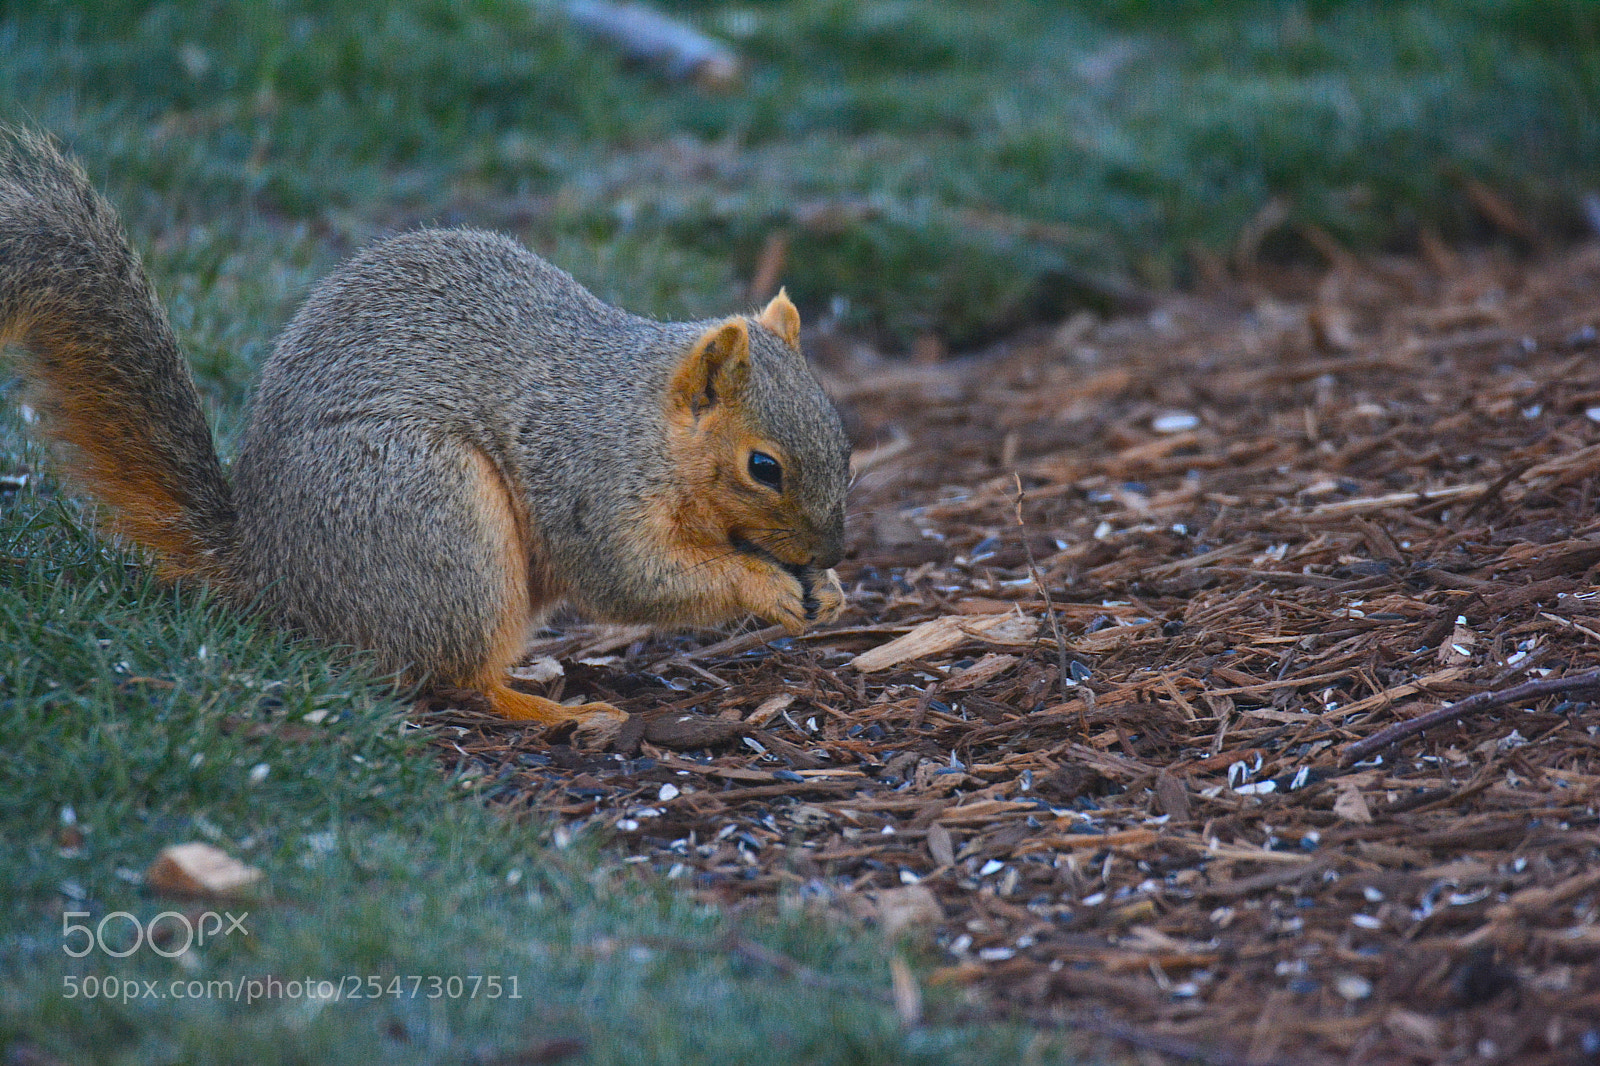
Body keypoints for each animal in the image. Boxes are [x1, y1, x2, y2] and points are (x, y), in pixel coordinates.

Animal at [0, 129, 850, 739]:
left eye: (843, 436)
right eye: (763, 467)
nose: (834, 554)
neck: (643, 420)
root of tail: (275, 575)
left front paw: (828, 595)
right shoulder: (589, 479)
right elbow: (631, 576)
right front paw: (765, 586)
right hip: (434, 516)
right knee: (458, 674)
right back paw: (553, 709)